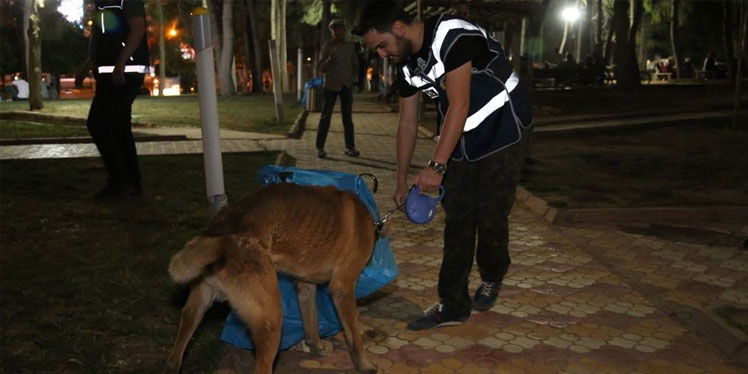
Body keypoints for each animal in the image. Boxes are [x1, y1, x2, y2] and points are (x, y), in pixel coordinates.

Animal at [163, 183, 374, 374]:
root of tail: (223, 231)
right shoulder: (342, 288)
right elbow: (354, 335)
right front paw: (365, 364)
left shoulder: (305, 286)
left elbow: (311, 324)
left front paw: (318, 348)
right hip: (271, 321)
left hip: (197, 306)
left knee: (174, 360)